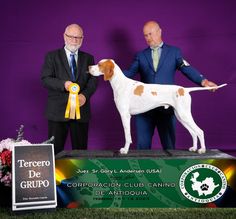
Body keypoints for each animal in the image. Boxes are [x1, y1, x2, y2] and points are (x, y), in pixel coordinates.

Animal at [89, 58, 227, 154]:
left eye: (99, 64)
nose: (89, 67)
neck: (120, 83)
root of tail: (184, 89)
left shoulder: (125, 116)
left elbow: (127, 136)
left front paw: (124, 150)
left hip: (184, 114)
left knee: (200, 131)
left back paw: (202, 150)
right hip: (181, 116)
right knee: (193, 132)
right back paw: (194, 148)